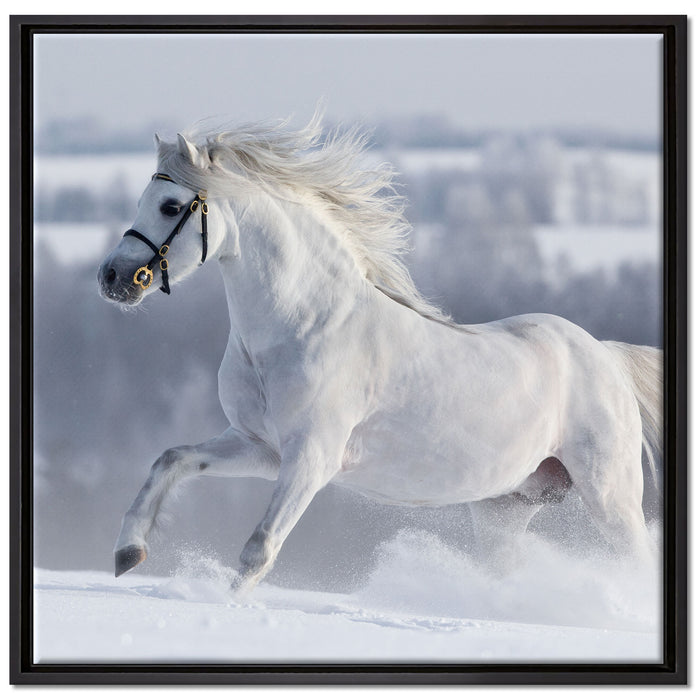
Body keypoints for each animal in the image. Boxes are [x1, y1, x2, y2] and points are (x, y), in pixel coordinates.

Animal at [97, 116, 662, 591]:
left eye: (171, 207)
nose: (113, 277)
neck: (303, 327)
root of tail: (605, 357)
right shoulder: (259, 446)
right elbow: (170, 459)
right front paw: (127, 554)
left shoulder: (312, 458)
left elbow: (259, 550)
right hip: (505, 507)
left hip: (611, 498)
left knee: (636, 564)